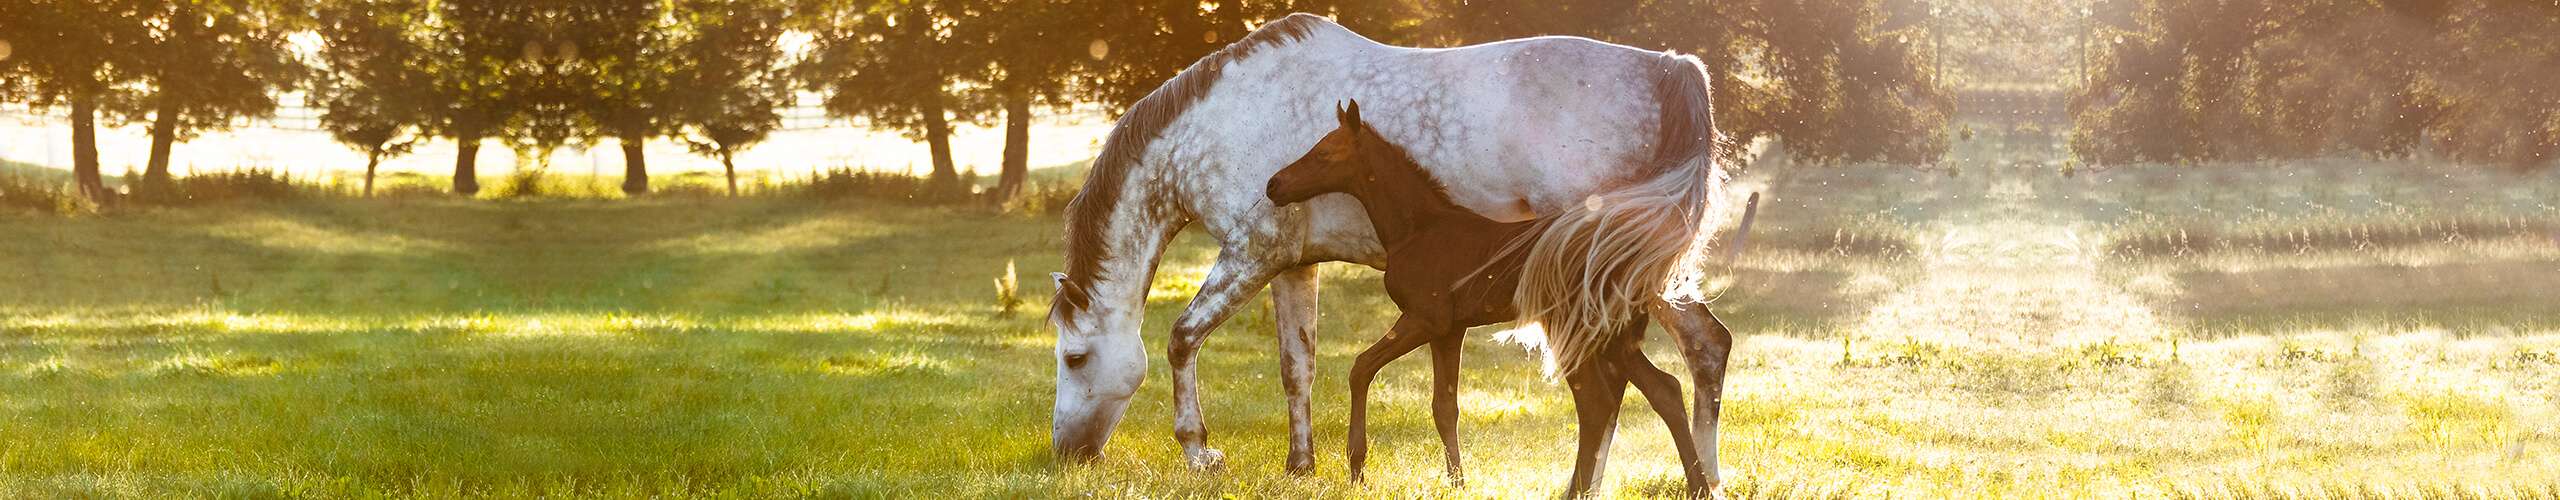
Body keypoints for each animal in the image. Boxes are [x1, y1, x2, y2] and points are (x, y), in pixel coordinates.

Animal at [1269, 100, 1730, 494]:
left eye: (1325, 153)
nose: (1274, 185)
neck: (1416, 228)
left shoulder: (1424, 318)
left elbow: (1361, 368)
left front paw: (1357, 467)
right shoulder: (1449, 330)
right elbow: (1444, 405)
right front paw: (1457, 481)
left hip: (1576, 330)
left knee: (1602, 401)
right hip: (1611, 337)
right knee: (1659, 389)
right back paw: (1692, 486)